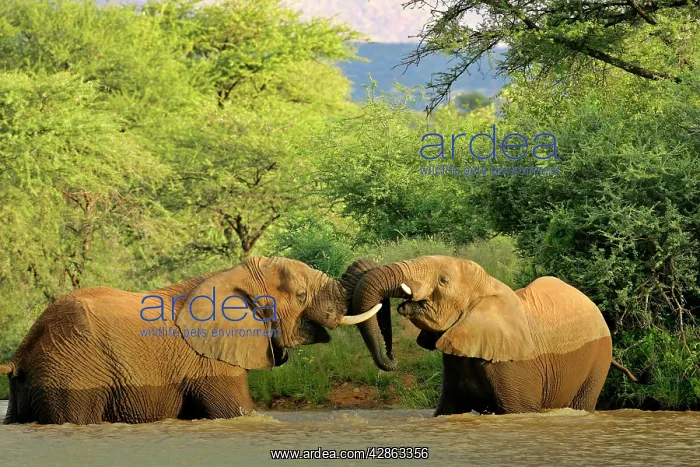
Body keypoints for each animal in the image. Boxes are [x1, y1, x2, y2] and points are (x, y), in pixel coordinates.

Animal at [0, 257, 381, 424]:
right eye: (301, 295)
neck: (231, 275)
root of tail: (22, 351)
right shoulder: (210, 360)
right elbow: (235, 412)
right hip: (71, 372)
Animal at [350, 255, 638, 415]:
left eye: (443, 281)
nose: (392, 358)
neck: (488, 287)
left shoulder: (513, 363)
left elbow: (519, 409)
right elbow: (448, 409)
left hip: (598, 359)